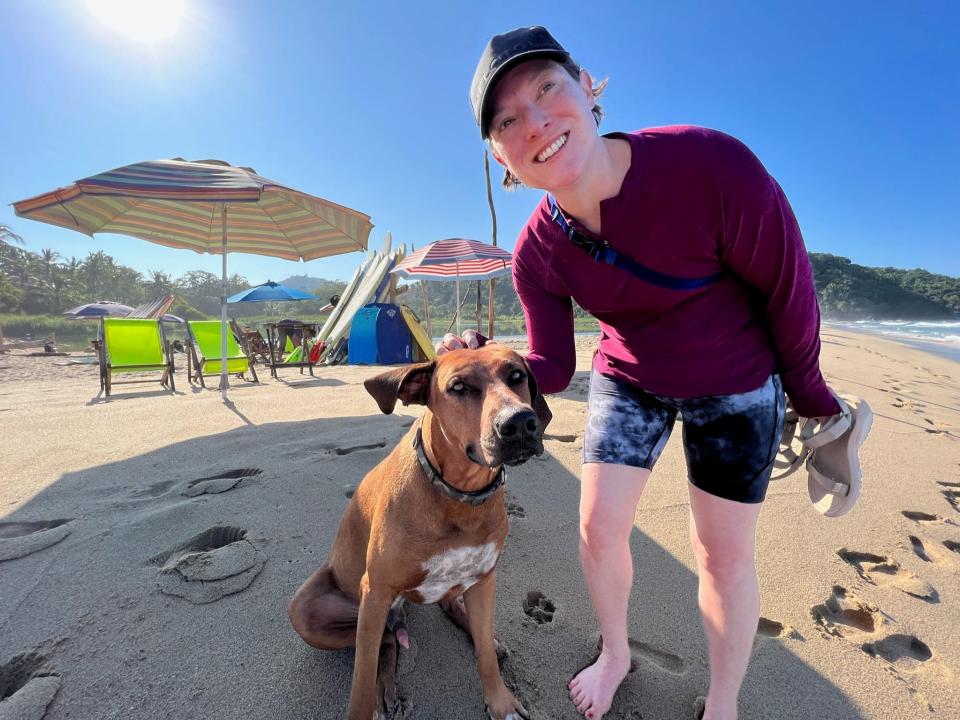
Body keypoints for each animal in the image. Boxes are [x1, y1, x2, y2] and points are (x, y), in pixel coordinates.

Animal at [288, 346, 552, 716]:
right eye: (458, 387)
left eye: (516, 375)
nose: (518, 423)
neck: (458, 495)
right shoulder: (375, 591)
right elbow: (361, 679)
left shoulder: (484, 579)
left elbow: (485, 656)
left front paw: (501, 703)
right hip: (311, 611)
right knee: (384, 640)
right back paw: (387, 688)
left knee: (447, 610)